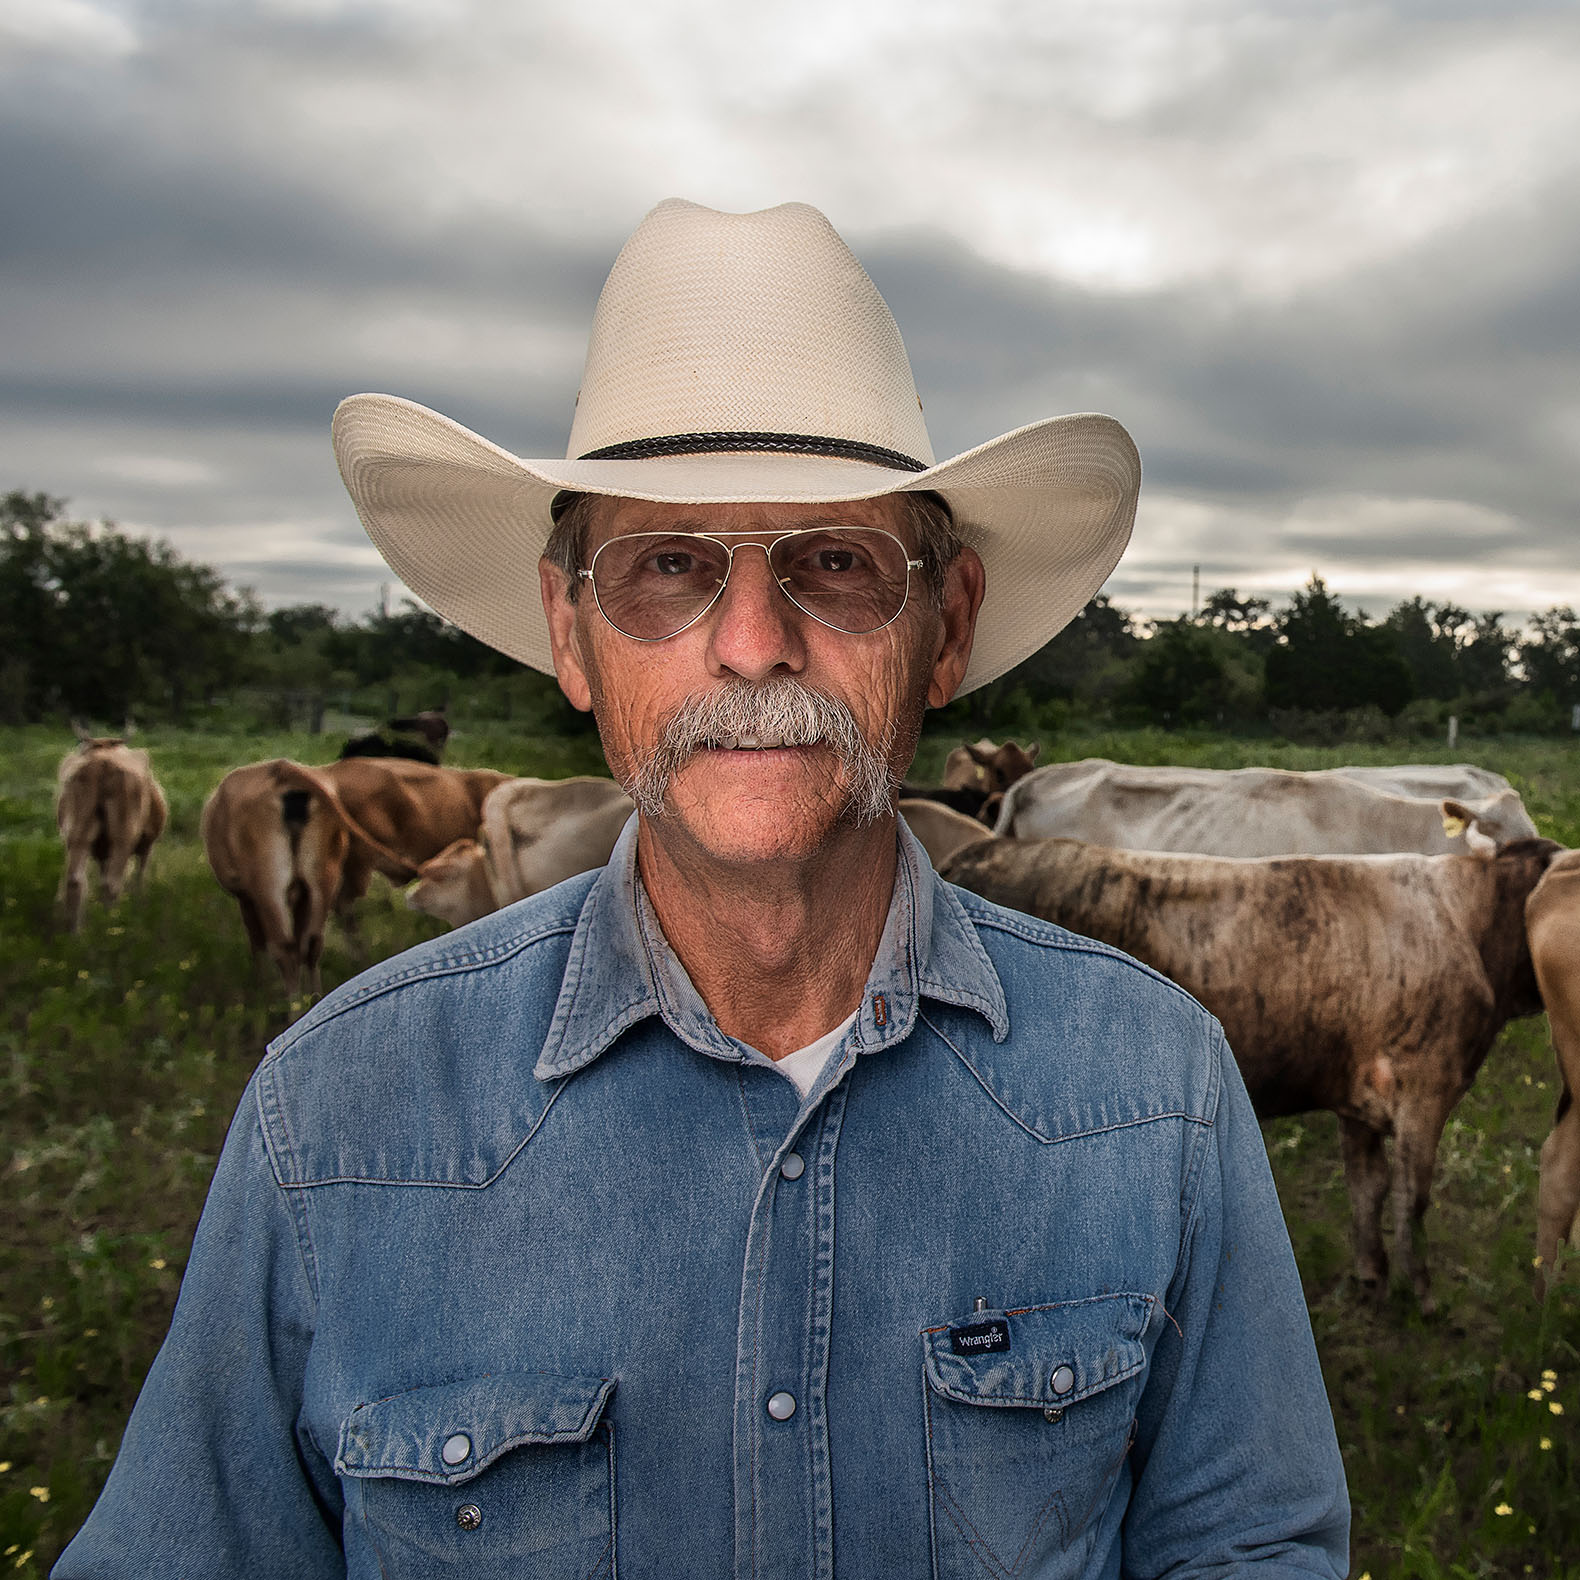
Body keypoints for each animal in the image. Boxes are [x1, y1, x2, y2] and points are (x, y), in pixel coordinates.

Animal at [52, 733, 166, 929]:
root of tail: (102, 763)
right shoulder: (147, 846)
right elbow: (139, 878)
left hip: (78, 830)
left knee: (75, 880)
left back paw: (75, 930)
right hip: (123, 834)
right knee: (112, 883)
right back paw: (109, 924)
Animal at [941, 827, 1561, 1308]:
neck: (1468, 924)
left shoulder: (1361, 1098)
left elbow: (1370, 1188)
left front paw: (1373, 1277)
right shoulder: (1426, 1088)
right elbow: (1414, 1198)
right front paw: (1425, 1295)